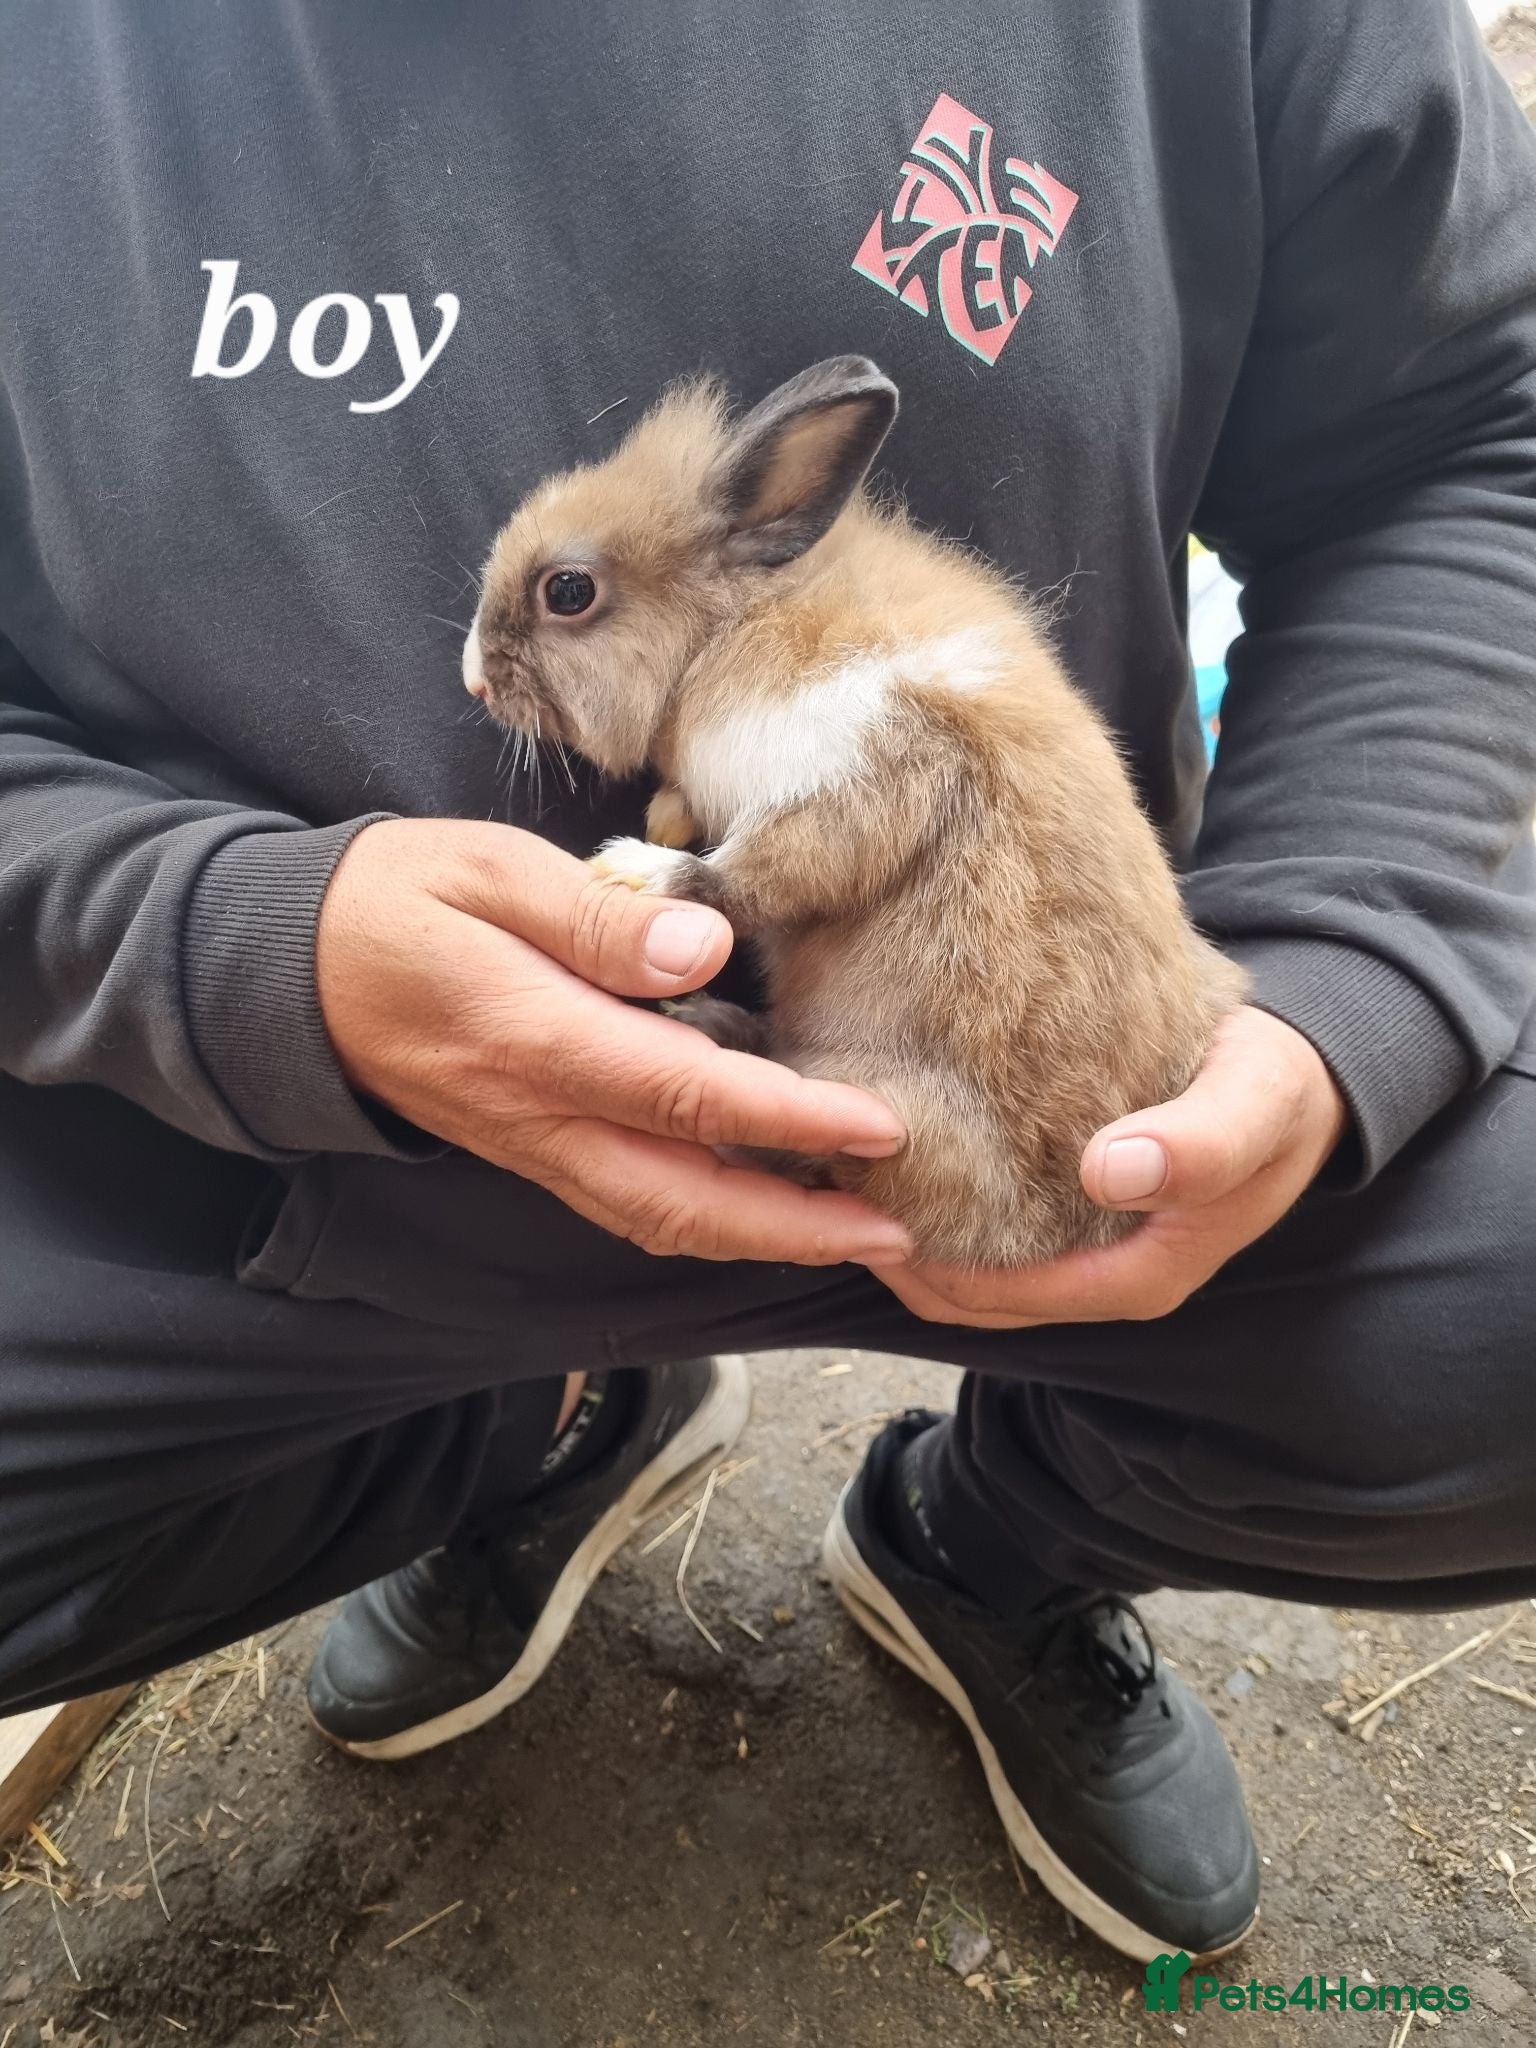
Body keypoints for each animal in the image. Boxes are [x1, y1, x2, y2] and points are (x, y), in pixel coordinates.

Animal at [462, 356, 1249, 1266]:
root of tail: (1075, 1226)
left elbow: (761, 875)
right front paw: (665, 819)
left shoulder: (864, 762)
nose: (474, 679)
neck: (725, 628)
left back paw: (714, 1028)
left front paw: (636, 870)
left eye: (569, 590)